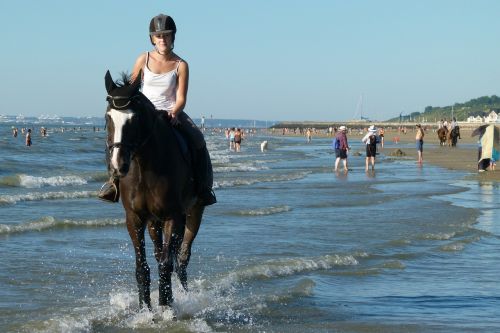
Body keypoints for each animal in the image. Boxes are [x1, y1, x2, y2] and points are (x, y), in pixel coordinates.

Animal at [103, 70, 205, 308]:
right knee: (163, 255)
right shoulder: (135, 218)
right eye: (107, 117)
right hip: (153, 222)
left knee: (182, 259)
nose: (118, 165)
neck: (145, 165)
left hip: (194, 212)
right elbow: (143, 268)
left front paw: (165, 307)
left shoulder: (173, 217)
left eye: (134, 119)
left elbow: (166, 266)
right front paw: (145, 309)